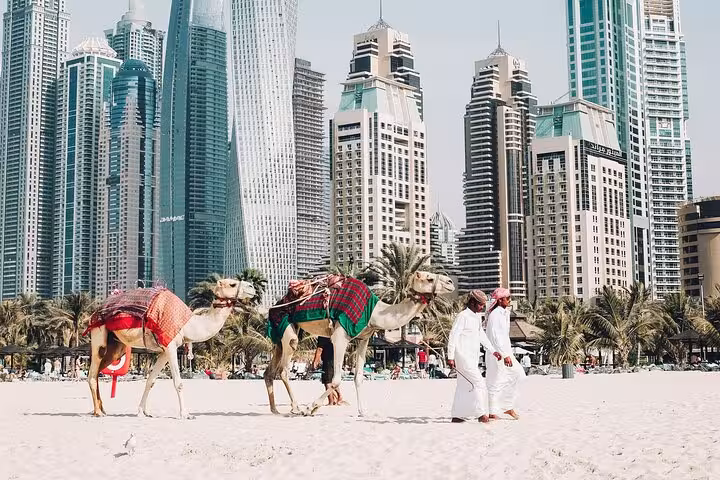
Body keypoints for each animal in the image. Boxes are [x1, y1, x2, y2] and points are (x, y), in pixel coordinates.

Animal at [87, 278, 256, 419]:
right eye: (232, 284)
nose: (252, 287)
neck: (188, 325)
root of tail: (94, 313)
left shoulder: (164, 350)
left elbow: (151, 380)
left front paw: (142, 412)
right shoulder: (171, 345)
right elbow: (178, 383)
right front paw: (185, 414)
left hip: (117, 345)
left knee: (101, 368)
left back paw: (102, 409)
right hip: (99, 332)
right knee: (93, 373)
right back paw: (97, 412)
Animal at [264, 271, 454, 417]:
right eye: (429, 278)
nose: (451, 282)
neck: (374, 313)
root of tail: (274, 305)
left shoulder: (364, 339)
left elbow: (359, 377)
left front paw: (362, 411)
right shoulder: (340, 336)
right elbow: (336, 379)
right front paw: (311, 407)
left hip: (281, 334)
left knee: (269, 371)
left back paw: (275, 410)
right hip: (286, 327)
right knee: (284, 370)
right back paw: (296, 408)